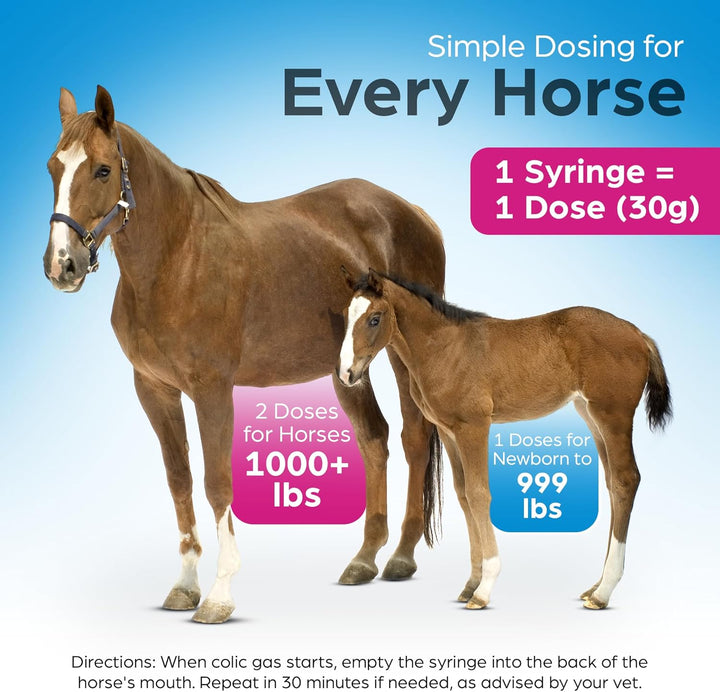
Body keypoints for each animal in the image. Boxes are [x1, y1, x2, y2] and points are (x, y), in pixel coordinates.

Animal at [42, 86, 446, 624]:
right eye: (53, 167)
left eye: (103, 170)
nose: (62, 265)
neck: (178, 259)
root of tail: (416, 213)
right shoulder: (154, 389)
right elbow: (179, 480)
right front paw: (184, 586)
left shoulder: (212, 388)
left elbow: (216, 482)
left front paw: (218, 595)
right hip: (346, 367)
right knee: (374, 439)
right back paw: (364, 559)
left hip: (402, 357)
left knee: (414, 436)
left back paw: (401, 556)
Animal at [337, 269, 671, 610]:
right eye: (346, 316)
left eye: (374, 318)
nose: (346, 373)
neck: (445, 349)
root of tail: (638, 334)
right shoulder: (448, 431)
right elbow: (463, 495)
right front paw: (471, 584)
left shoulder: (474, 426)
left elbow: (479, 494)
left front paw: (484, 589)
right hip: (590, 415)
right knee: (613, 484)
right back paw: (595, 587)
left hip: (613, 415)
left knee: (626, 480)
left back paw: (604, 592)